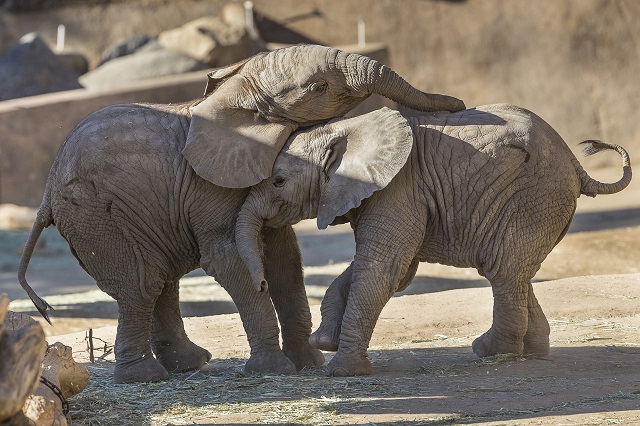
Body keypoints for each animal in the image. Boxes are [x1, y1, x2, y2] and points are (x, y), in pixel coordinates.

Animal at [18, 45, 465, 384]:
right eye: (319, 86)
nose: (459, 103)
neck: (235, 95)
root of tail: (46, 194)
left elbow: (284, 258)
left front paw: (308, 364)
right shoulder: (211, 185)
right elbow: (229, 256)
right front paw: (275, 369)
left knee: (159, 279)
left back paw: (191, 365)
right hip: (96, 213)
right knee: (142, 282)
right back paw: (145, 378)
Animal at [235, 105, 632, 377]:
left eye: (278, 181)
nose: (263, 283)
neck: (348, 128)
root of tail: (575, 162)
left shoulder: (399, 188)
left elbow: (383, 268)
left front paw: (341, 371)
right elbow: (395, 270)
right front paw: (324, 342)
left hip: (534, 197)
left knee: (503, 271)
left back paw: (493, 352)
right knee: (514, 270)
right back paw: (528, 350)